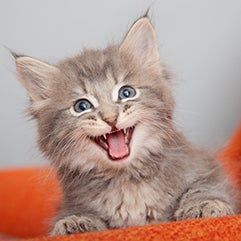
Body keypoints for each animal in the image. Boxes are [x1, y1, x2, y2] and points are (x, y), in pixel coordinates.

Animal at [15, 17, 237, 235]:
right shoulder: (70, 201)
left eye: (126, 93)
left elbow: (205, 187)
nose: (110, 118)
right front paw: (75, 220)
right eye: (82, 106)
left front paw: (205, 204)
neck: (127, 179)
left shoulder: (205, 167)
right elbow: (70, 215)